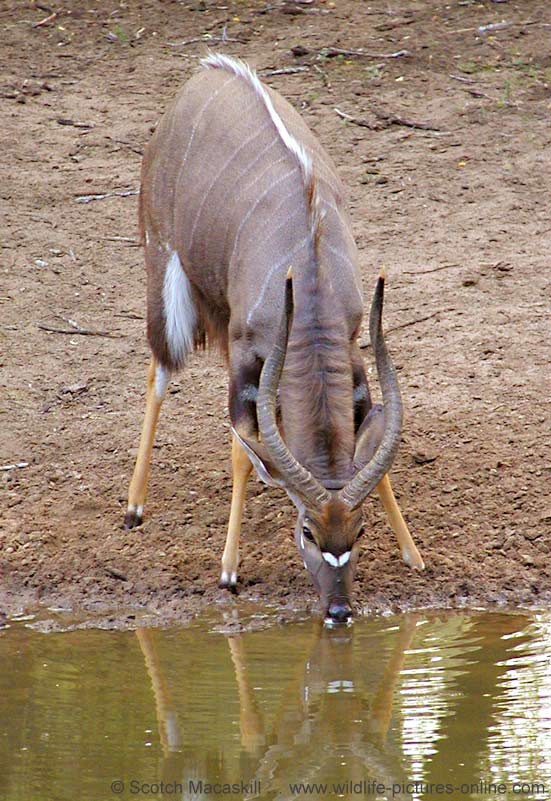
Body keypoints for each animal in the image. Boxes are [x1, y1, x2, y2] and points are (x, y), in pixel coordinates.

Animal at [125, 53, 424, 624]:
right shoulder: (246, 357)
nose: (338, 610)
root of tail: (208, 70)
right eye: (307, 531)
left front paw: (412, 552)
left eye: (359, 530)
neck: (306, 262)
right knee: (158, 371)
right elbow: (244, 453)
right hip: (164, 275)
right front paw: (228, 570)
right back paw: (133, 506)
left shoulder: (352, 347)